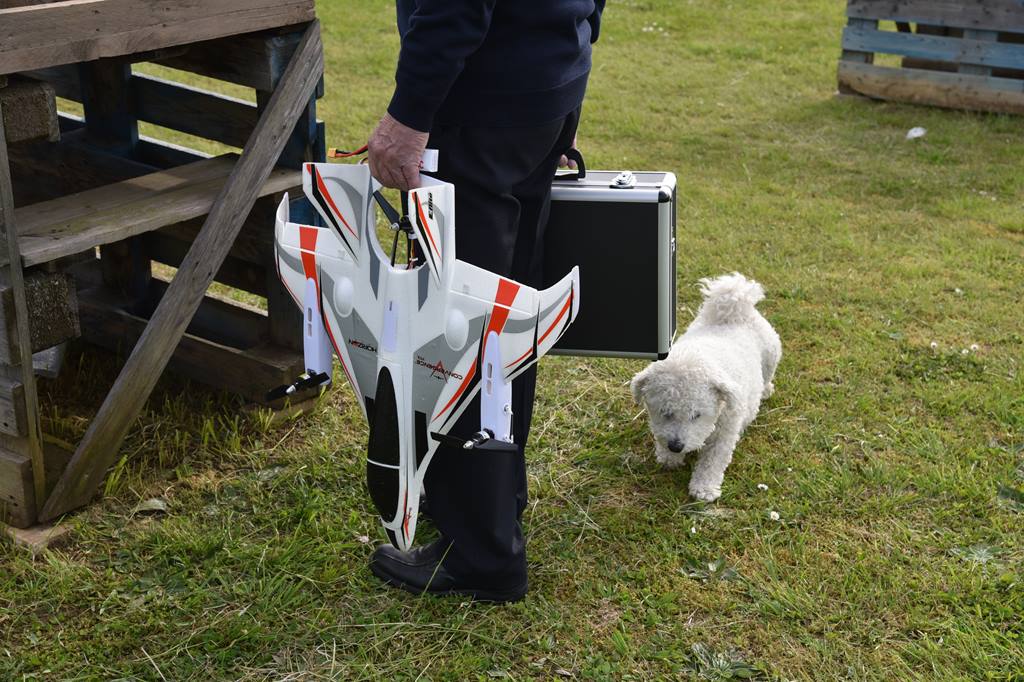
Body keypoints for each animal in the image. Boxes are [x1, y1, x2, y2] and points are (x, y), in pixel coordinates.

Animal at [626, 274, 778, 501]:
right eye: (664, 412)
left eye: (697, 415)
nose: (676, 446)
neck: (700, 354)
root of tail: (735, 311)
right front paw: (669, 458)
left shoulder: (725, 433)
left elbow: (712, 462)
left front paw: (704, 489)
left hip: (771, 356)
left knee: (768, 375)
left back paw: (766, 390)